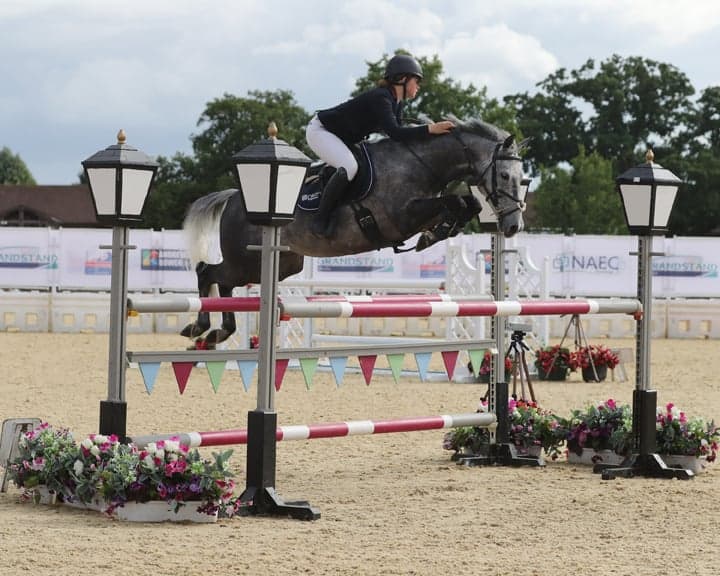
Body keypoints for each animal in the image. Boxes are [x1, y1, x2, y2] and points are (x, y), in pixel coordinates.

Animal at [181, 117, 528, 347]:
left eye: (524, 179)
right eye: (506, 175)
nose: (513, 227)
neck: (420, 163)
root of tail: (233, 197)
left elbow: (466, 202)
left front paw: (438, 231)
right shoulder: (397, 218)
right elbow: (455, 201)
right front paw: (435, 232)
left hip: (278, 264)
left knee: (223, 282)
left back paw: (217, 332)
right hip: (244, 259)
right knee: (208, 272)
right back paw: (200, 327)